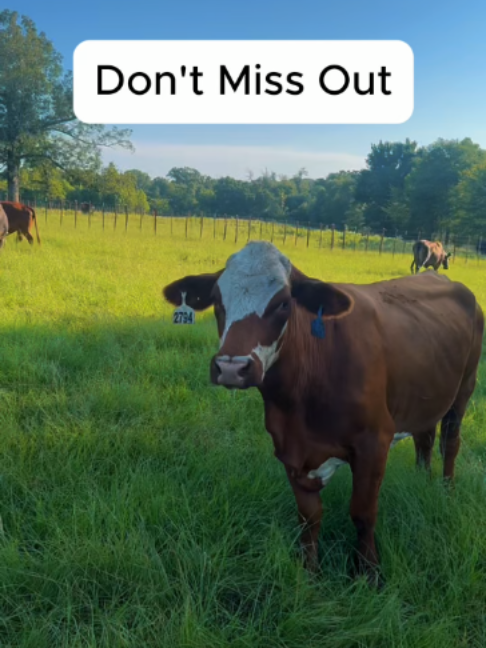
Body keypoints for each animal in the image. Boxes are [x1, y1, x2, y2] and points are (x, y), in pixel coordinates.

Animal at [163, 241, 483, 582]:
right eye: (217, 300)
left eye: (283, 303)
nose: (231, 368)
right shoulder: (290, 448)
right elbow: (309, 515)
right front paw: (309, 571)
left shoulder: (374, 442)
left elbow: (363, 513)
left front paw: (369, 572)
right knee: (424, 438)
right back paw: (422, 480)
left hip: (464, 388)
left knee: (450, 441)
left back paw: (446, 491)